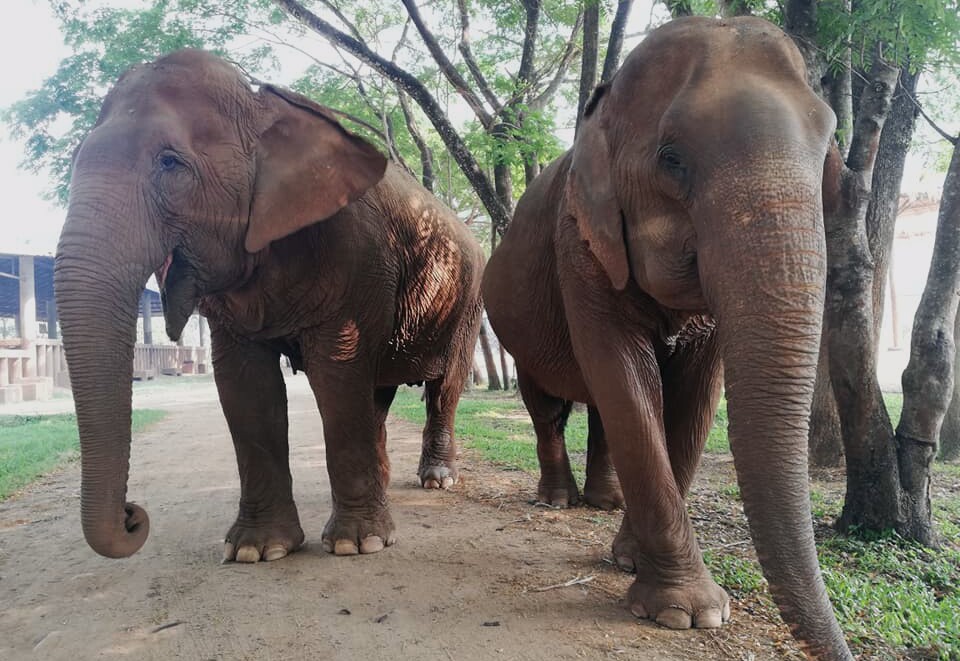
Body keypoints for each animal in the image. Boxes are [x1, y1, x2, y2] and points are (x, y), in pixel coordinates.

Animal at [52, 51, 484, 564]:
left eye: (170, 162)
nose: (133, 514)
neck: (262, 108)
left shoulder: (355, 255)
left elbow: (338, 374)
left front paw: (358, 545)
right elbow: (245, 385)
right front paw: (256, 551)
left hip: (468, 301)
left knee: (444, 388)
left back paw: (437, 480)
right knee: (378, 393)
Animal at [484, 14, 852, 660]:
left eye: (828, 158)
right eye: (672, 159)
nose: (843, 650)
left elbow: (694, 397)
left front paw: (630, 562)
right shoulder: (578, 243)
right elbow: (626, 378)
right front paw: (688, 613)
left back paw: (603, 503)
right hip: (516, 327)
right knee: (547, 405)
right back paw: (558, 500)